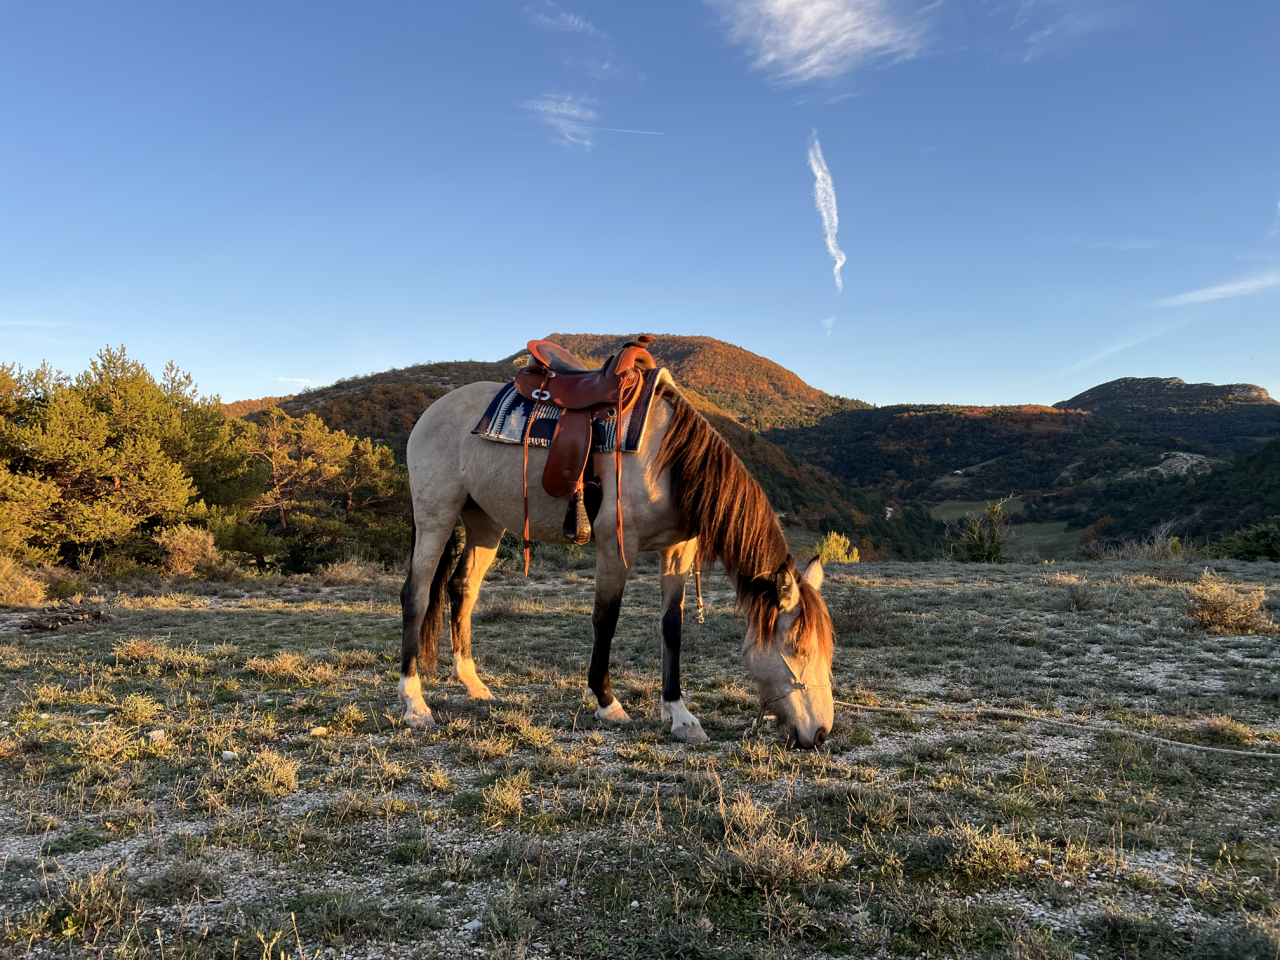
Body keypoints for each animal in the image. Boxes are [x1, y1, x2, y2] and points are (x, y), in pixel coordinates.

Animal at [397, 370, 835, 749]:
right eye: (798, 649)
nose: (820, 733)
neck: (669, 460)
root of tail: (434, 410)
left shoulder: (677, 552)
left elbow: (671, 627)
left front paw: (679, 714)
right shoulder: (616, 546)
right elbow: (605, 620)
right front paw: (607, 703)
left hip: (484, 522)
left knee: (462, 589)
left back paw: (473, 684)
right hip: (436, 514)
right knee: (416, 596)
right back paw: (415, 704)